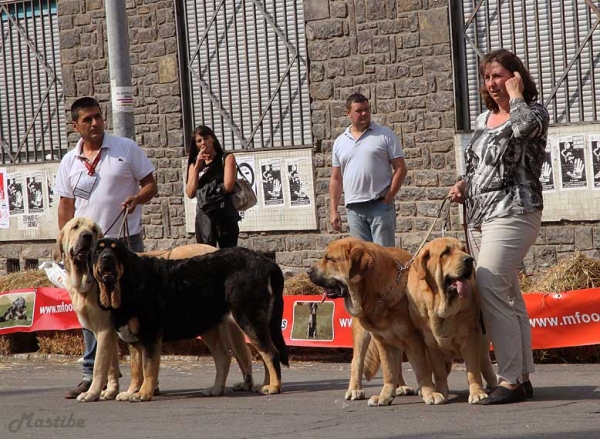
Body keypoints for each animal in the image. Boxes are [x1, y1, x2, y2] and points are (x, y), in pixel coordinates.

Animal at [90, 237, 292, 402]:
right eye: (98, 251)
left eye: (115, 250)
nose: (106, 257)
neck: (128, 282)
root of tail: (264, 261)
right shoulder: (134, 341)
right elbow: (136, 370)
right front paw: (131, 391)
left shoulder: (150, 335)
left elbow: (148, 368)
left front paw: (143, 394)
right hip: (212, 326)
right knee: (226, 357)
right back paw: (223, 388)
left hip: (247, 318)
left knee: (270, 352)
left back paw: (273, 387)